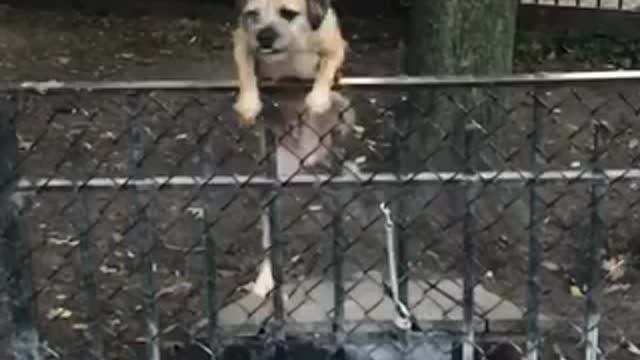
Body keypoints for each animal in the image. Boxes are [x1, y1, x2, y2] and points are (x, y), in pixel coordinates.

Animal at [232, 0, 358, 170]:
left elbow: (327, 67)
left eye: (288, 13)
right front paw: (248, 104)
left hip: (340, 106)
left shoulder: (334, 44)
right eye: (253, 14)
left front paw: (318, 99)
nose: (264, 37)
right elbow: (245, 70)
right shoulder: (242, 40)